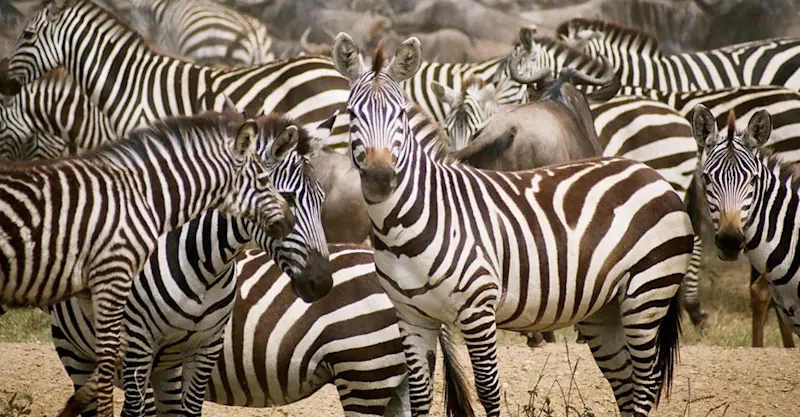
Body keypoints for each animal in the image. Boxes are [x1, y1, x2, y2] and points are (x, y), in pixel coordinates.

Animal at [4, 104, 333, 416]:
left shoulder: (207, 346)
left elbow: (190, 410)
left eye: (321, 200)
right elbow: (135, 410)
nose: (322, 283)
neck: (206, 267)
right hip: (75, 351)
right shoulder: (139, 343)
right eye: (288, 198)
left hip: (168, 364)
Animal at [332, 33, 693, 417]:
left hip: (648, 291)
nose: (380, 178)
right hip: (606, 308)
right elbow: (419, 397)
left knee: (645, 383)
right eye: (351, 115)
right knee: (625, 384)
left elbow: (488, 390)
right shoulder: (411, 317)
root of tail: (649, 172)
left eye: (400, 114)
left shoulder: (478, 309)